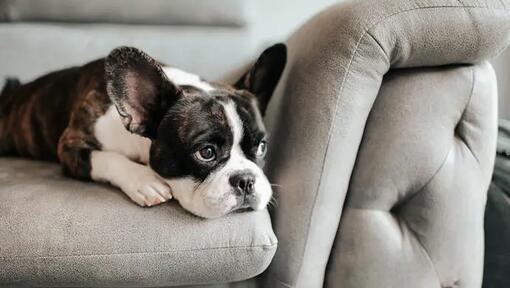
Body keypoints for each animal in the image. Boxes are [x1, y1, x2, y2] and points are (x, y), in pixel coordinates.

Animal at [0, 44, 286, 217]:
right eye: (206, 152)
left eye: (262, 147)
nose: (246, 180)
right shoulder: (70, 145)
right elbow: (107, 157)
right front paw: (144, 180)